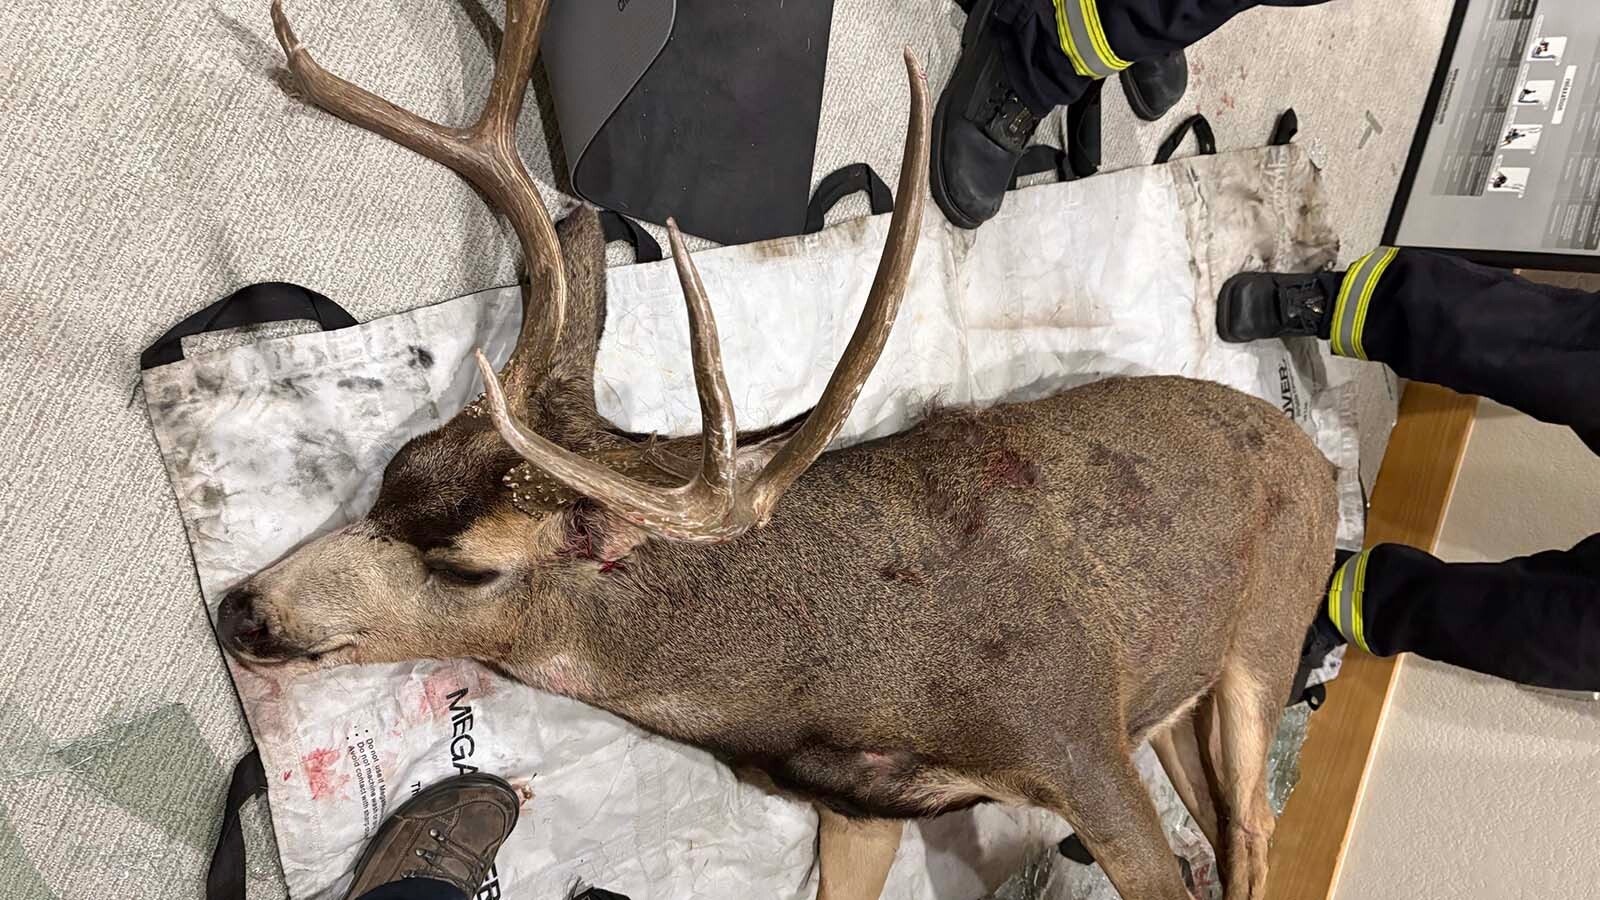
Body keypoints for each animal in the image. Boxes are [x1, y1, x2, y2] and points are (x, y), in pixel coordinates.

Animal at [219, 3, 1339, 899]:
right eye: (394, 469)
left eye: (466, 569)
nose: (244, 612)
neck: (818, 689)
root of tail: (1319, 458)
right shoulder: (861, 810)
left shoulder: (1072, 736)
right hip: (1178, 699)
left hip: (1268, 634)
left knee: (1254, 832)